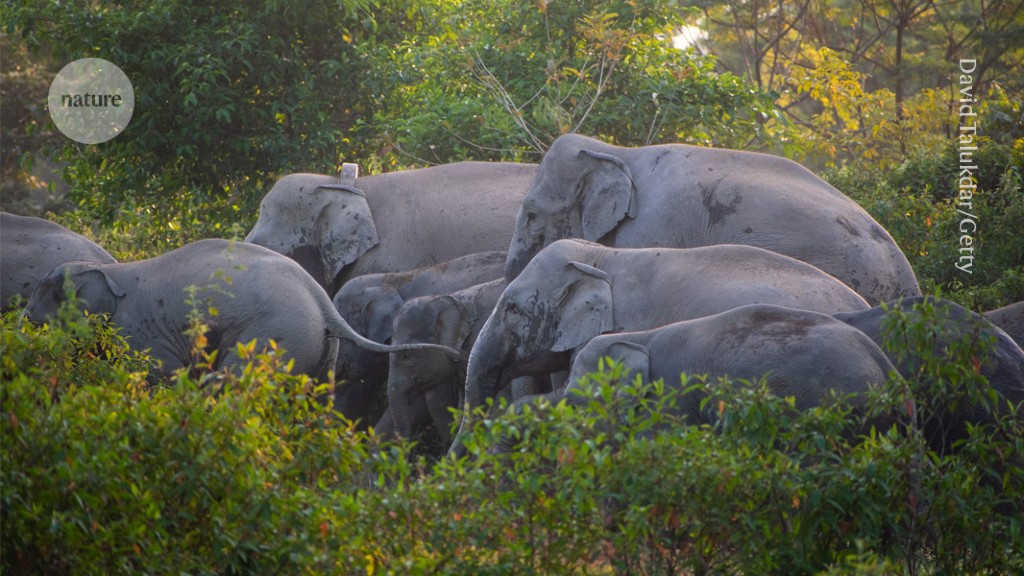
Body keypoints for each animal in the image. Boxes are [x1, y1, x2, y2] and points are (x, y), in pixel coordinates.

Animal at [22, 238, 456, 381]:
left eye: (43, 289)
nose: (21, 319)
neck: (113, 271)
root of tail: (321, 299)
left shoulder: (139, 333)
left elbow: (155, 375)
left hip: (274, 336)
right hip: (317, 346)